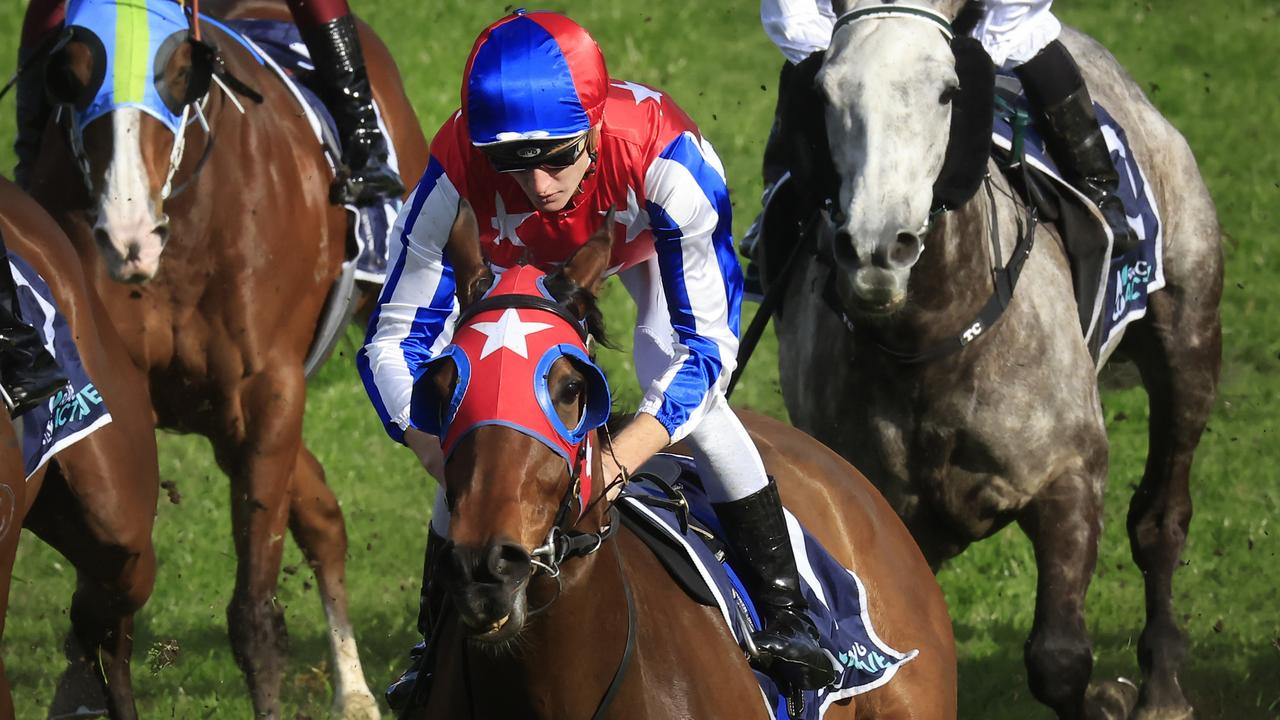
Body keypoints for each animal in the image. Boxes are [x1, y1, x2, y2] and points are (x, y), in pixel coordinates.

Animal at [26, 0, 430, 712]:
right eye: (70, 73)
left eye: (177, 73)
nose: (127, 235)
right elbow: (108, 616)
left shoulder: (267, 388)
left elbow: (254, 616)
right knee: (322, 516)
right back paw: (354, 691)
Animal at [768, 1, 1218, 717]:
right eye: (827, 92)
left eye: (947, 91)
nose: (875, 251)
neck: (930, 346)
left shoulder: (1069, 476)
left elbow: (1058, 659)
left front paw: (1108, 697)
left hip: (1189, 336)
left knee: (1161, 520)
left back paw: (1164, 686)